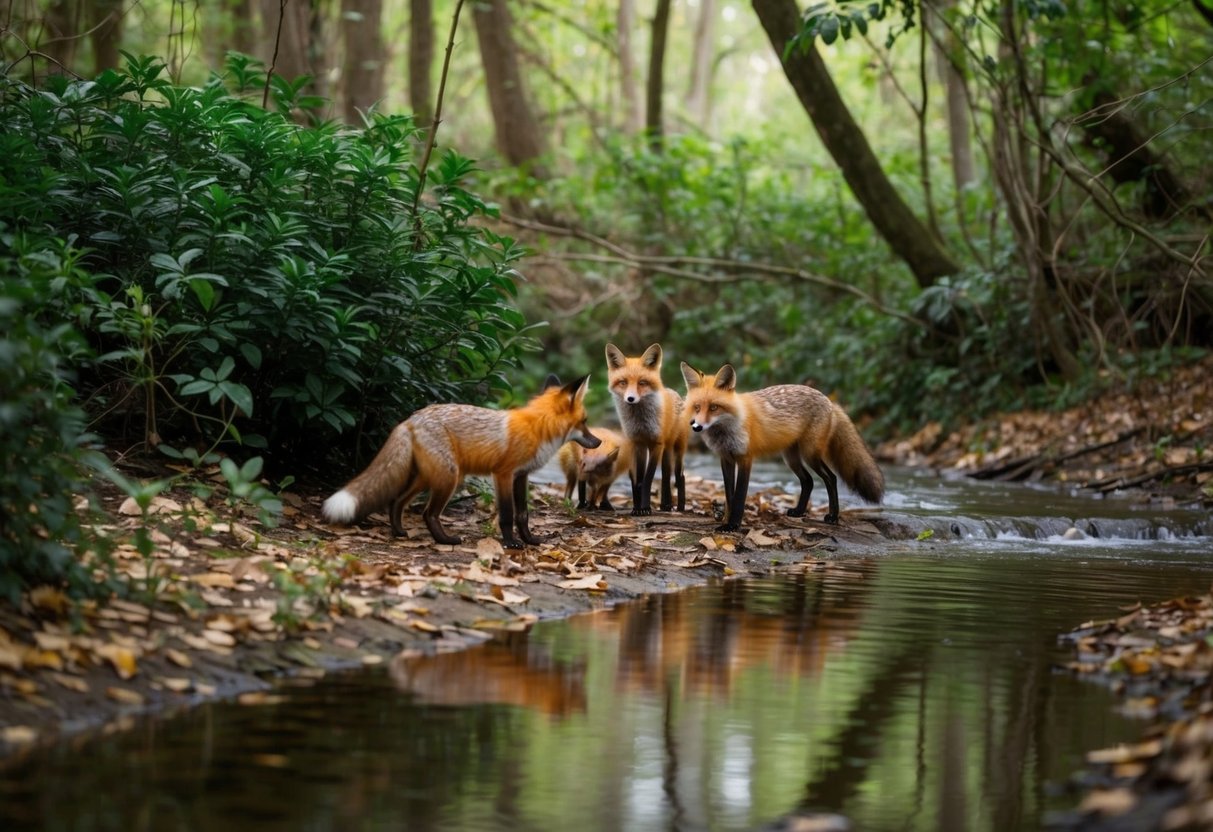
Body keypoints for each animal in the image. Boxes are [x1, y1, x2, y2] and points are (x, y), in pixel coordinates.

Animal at [322, 375, 600, 549]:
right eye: (585, 421)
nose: (597, 442)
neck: (538, 429)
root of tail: (411, 419)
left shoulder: (522, 475)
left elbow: (523, 514)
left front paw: (530, 540)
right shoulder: (503, 474)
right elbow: (507, 514)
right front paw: (511, 543)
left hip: (428, 478)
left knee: (397, 501)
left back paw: (399, 532)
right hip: (449, 478)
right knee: (427, 513)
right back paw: (445, 541)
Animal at [605, 343, 690, 515]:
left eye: (642, 382)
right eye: (623, 382)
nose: (630, 399)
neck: (640, 423)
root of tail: (674, 393)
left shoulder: (656, 444)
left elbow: (647, 479)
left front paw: (645, 508)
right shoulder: (637, 444)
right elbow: (638, 481)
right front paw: (637, 508)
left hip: (677, 449)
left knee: (679, 476)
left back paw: (680, 507)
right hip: (665, 449)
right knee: (666, 475)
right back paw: (665, 505)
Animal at [679, 362, 884, 531]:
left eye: (714, 407)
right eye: (697, 407)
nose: (697, 426)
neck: (727, 429)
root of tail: (829, 401)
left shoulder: (746, 458)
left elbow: (739, 498)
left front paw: (733, 525)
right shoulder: (726, 459)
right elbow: (729, 496)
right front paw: (725, 521)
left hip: (810, 454)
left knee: (831, 478)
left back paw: (833, 516)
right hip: (791, 458)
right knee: (808, 481)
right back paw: (799, 511)